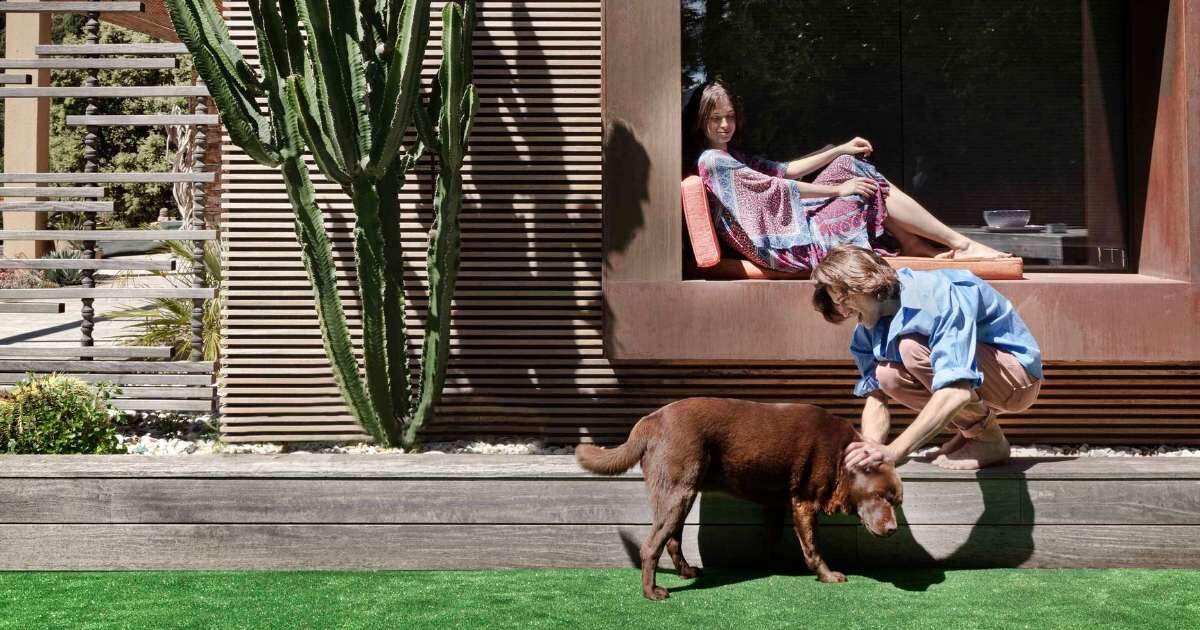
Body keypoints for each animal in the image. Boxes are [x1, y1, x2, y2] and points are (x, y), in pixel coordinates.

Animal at [573, 398, 902, 600]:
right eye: (880, 496)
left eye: (897, 501)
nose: (893, 530)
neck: (840, 454)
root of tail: (649, 421)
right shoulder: (804, 503)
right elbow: (812, 546)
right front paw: (828, 575)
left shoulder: (776, 503)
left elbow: (774, 537)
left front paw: (770, 566)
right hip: (678, 493)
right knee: (650, 546)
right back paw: (652, 592)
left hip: (680, 494)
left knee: (672, 540)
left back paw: (686, 572)